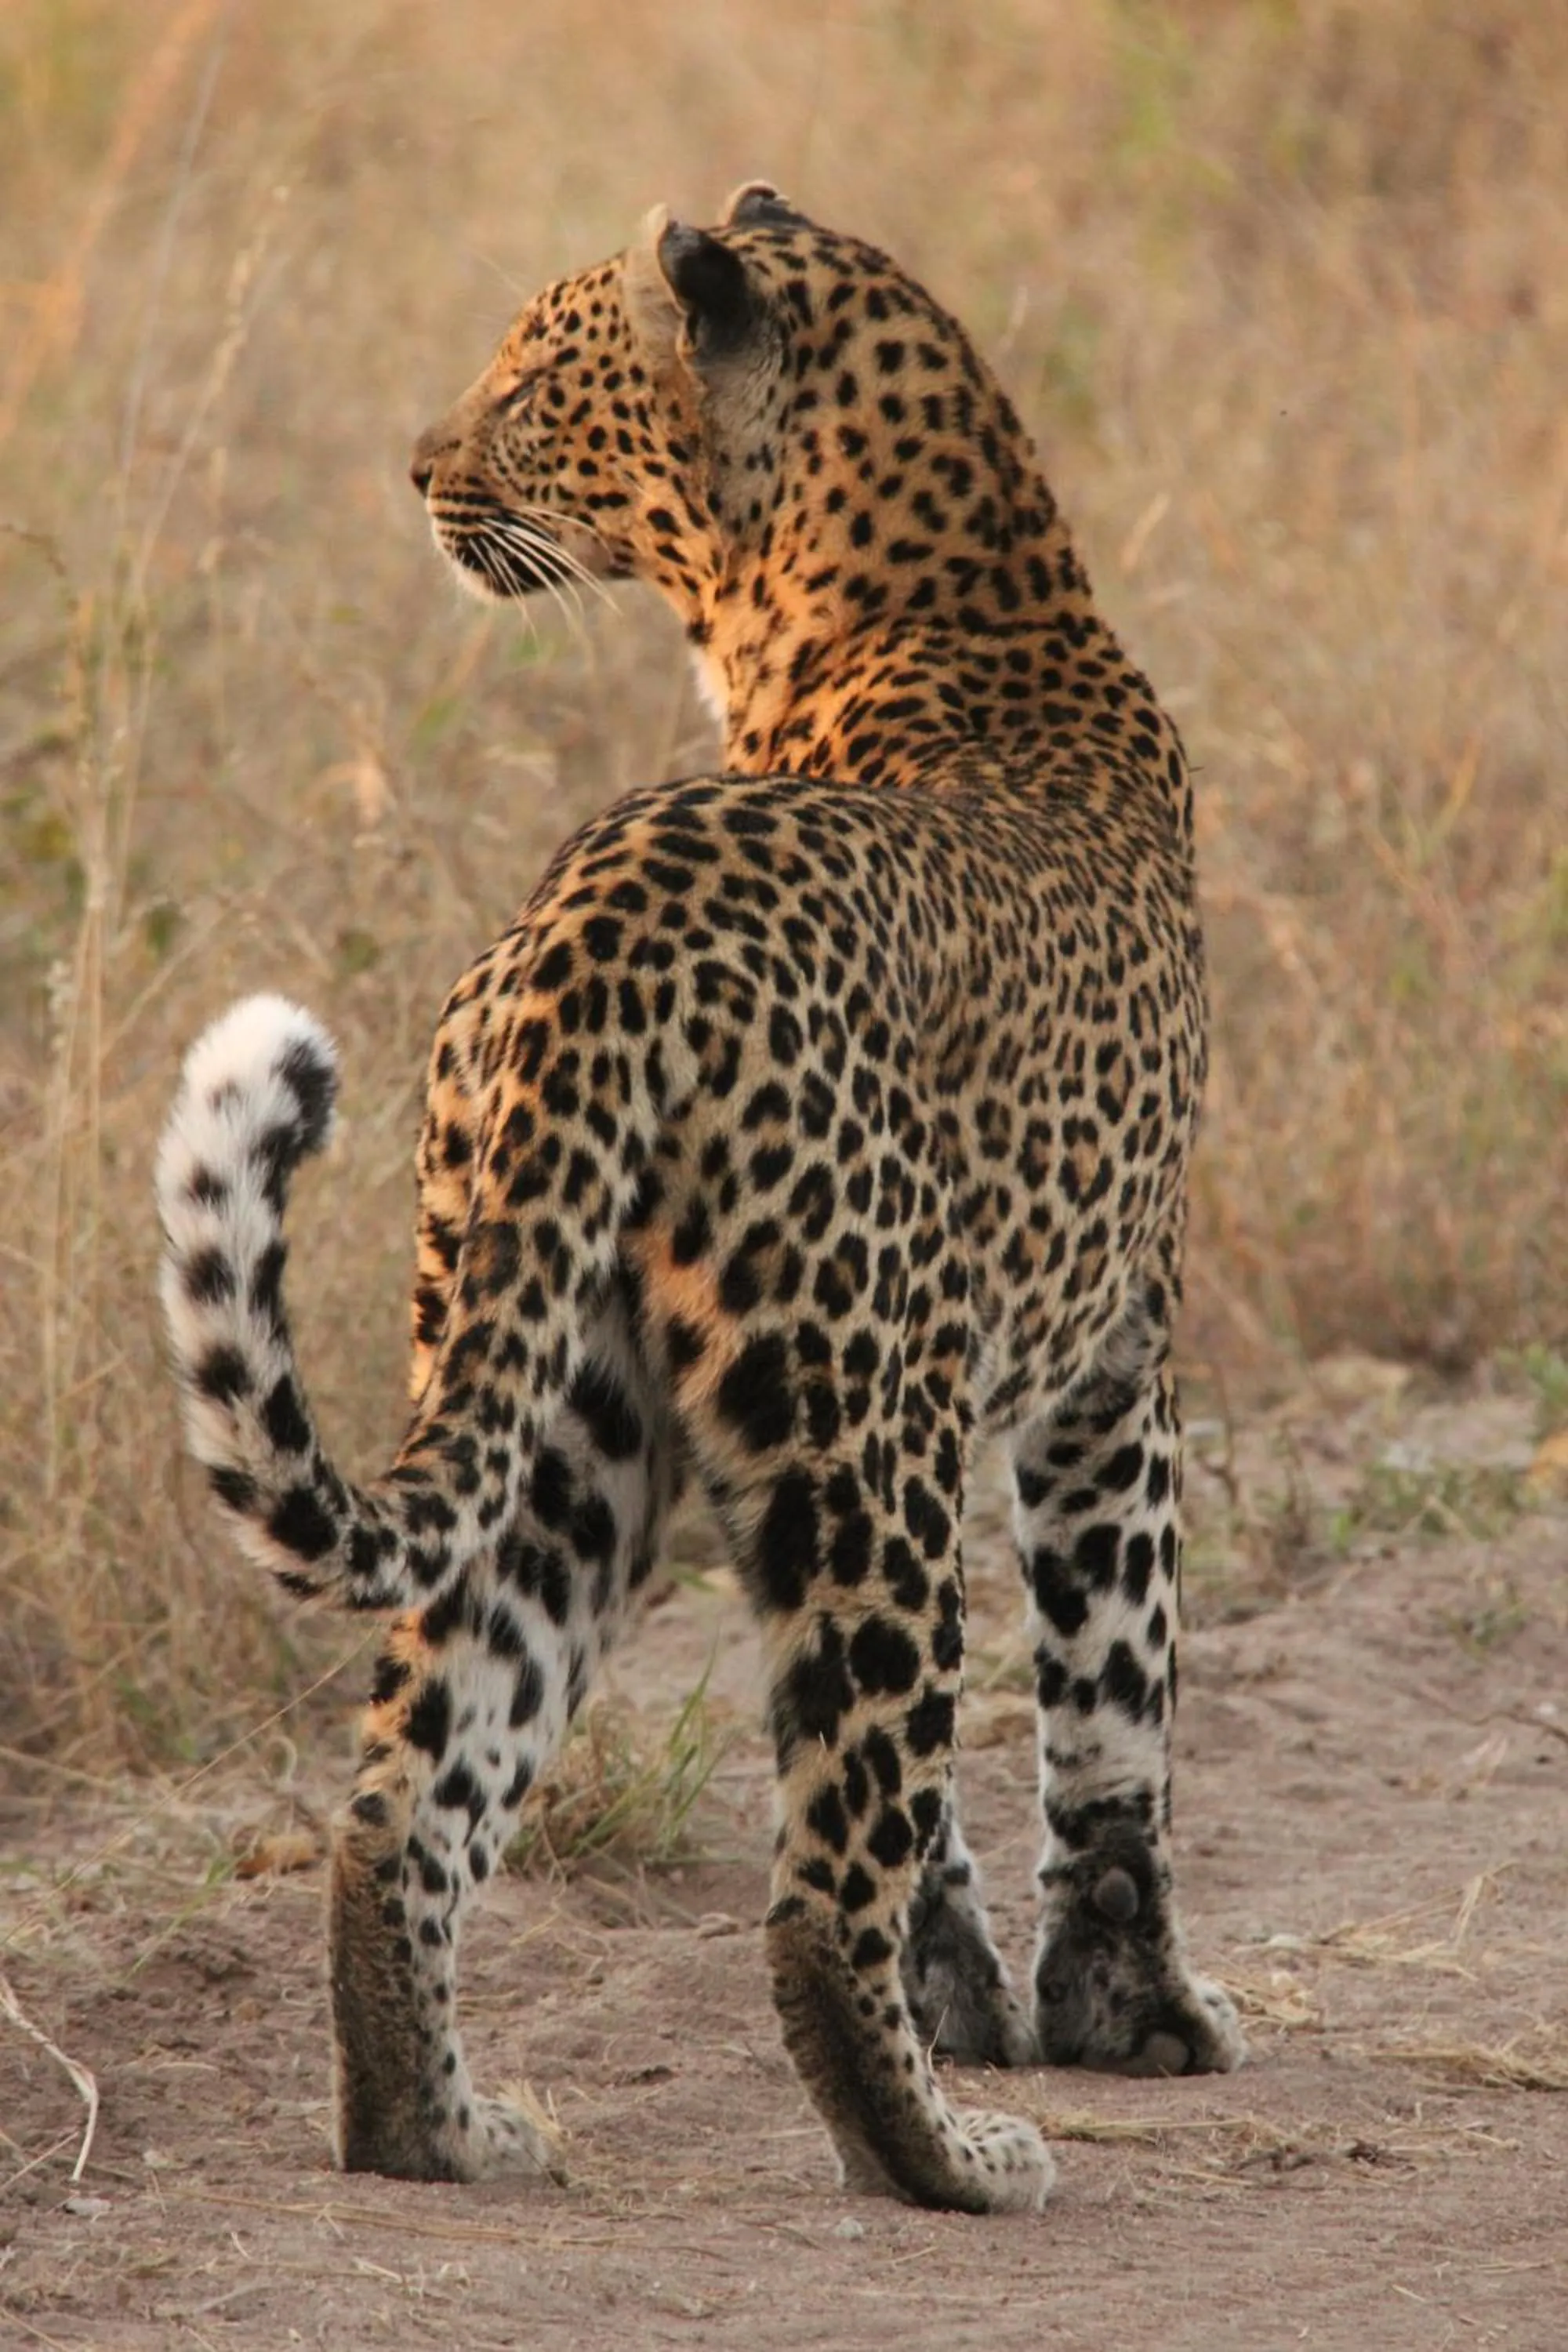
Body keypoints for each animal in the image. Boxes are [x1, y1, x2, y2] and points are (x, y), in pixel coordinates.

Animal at [156, 181, 1245, 2218]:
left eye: (530, 378)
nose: (415, 464)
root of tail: (602, 929)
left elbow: (991, 1787)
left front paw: (995, 1991)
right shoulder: (1106, 1358)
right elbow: (1109, 1701)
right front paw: (1123, 2012)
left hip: (556, 1421)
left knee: (405, 1794)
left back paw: (442, 2127)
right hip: (857, 1433)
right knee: (817, 1886)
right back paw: (955, 2157)